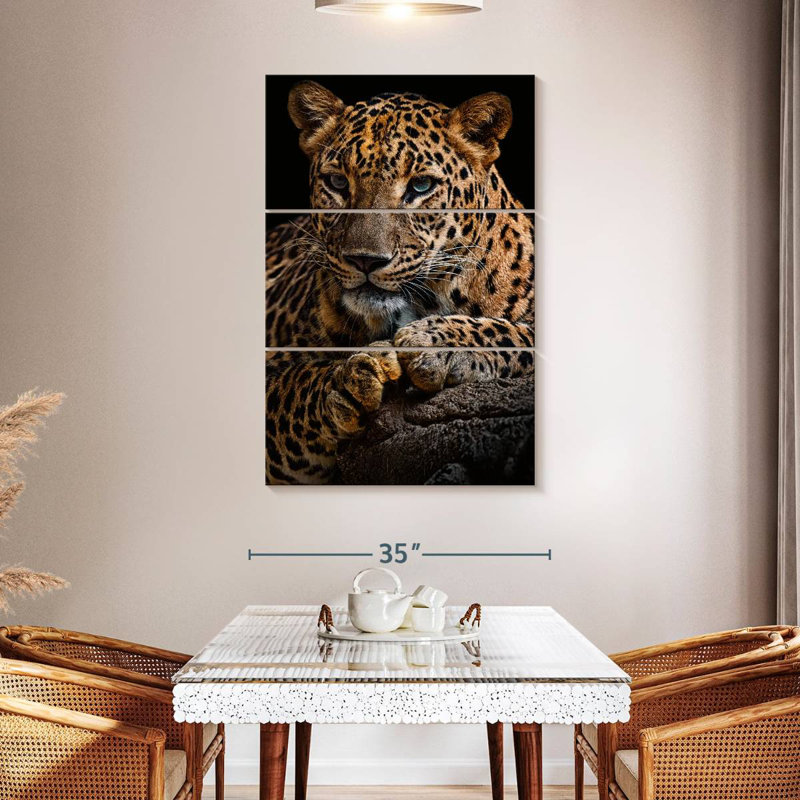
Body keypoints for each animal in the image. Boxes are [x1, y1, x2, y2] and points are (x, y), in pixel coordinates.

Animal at [266, 81, 535, 484]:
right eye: (337, 182)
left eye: (421, 186)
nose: (365, 259)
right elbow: (291, 386)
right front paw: (346, 381)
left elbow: (512, 333)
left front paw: (433, 342)